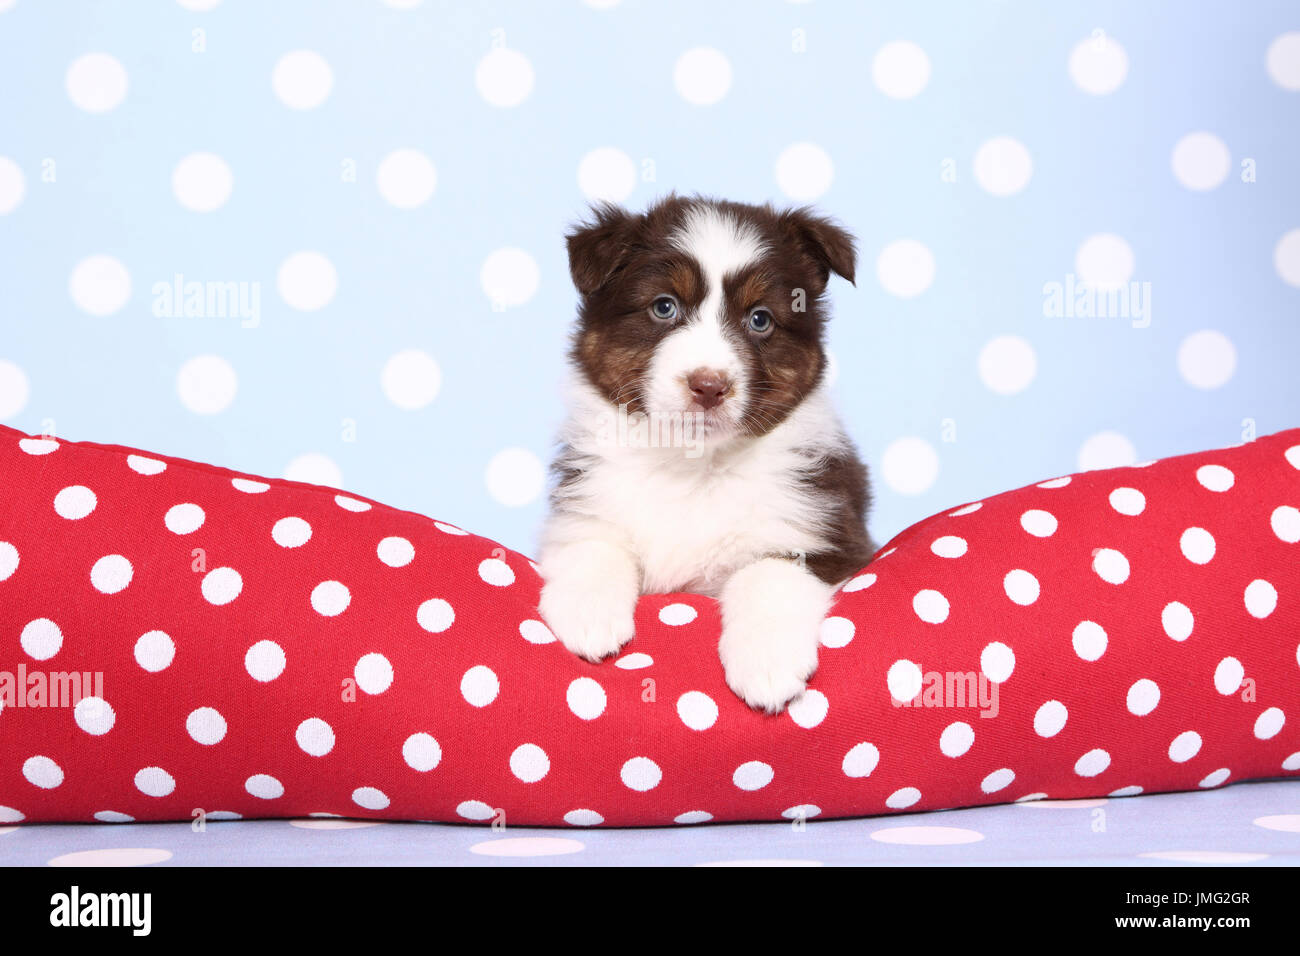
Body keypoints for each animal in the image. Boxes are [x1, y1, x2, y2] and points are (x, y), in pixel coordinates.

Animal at [533, 197, 878, 712]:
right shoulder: (582, 503)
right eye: (664, 307)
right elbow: (592, 543)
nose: (709, 386)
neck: (692, 465)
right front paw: (589, 614)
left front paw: (767, 665)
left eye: (760, 318)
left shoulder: (833, 534)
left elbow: (768, 572)